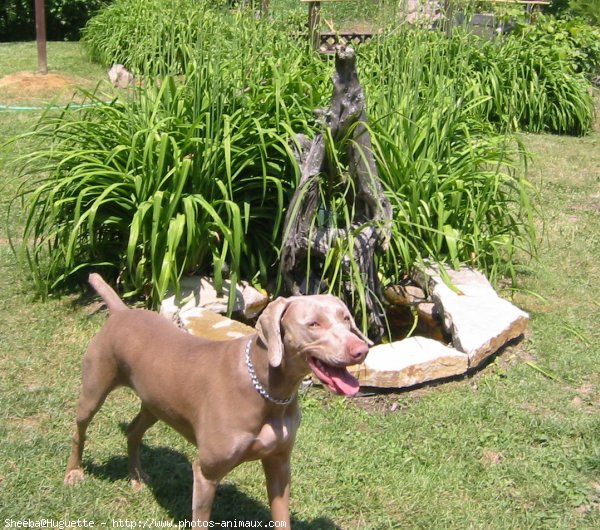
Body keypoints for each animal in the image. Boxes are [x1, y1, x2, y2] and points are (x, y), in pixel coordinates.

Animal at [63, 272, 368, 524]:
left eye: (346, 318)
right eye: (313, 324)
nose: (361, 350)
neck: (267, 389)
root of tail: (121, 312)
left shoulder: (279, 464)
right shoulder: (206, 473)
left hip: (155, 403)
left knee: (133, 431)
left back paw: (136, 476)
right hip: (95, 387)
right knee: (80, 429)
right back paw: (74, 473)